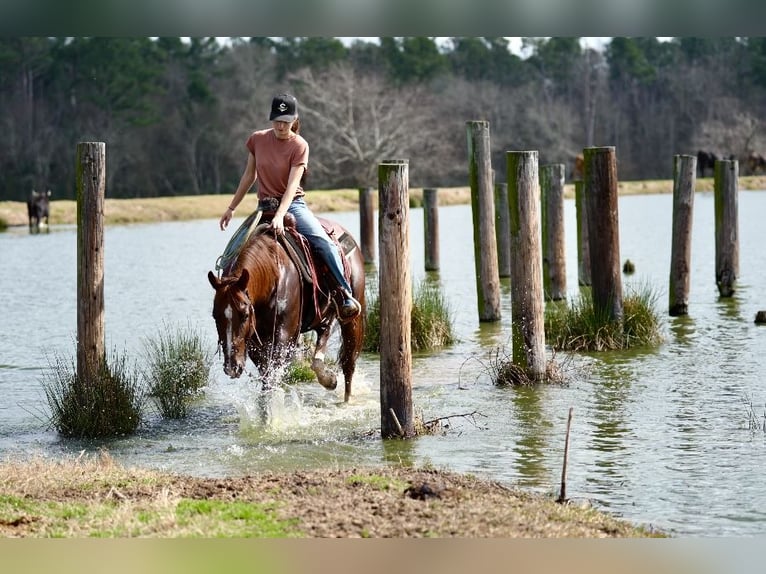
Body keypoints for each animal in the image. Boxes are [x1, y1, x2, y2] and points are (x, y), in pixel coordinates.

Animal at [208, 216, 368, 404]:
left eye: (245, 315)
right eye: (215, 316)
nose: (232, 367)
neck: (272, 273)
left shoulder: (284, 335)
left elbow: (272, 375)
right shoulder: (255, 342)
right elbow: (266, 375)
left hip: (352, 319)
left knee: (349, 361)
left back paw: (345, 398)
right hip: (323, 316)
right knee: (324, 336)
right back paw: (327, 378)